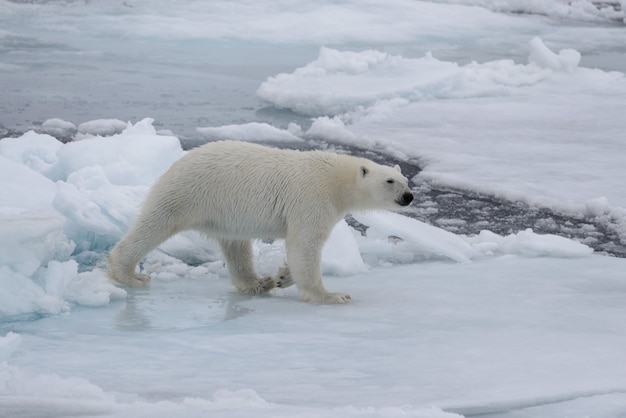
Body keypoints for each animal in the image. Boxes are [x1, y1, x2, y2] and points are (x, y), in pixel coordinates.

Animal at [108, 141, 410, 304]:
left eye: (405, 180)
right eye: (389, 181)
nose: (409, 196)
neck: (336, 179)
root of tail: (179, 160)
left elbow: (299, 251)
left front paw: (281, 276)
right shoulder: (312, 198)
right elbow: (305, 244)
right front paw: (332, 295)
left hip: (225, 211)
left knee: (236, 245)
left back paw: (257, 282)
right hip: (189, 192)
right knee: (155, 224)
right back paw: (130, 274)